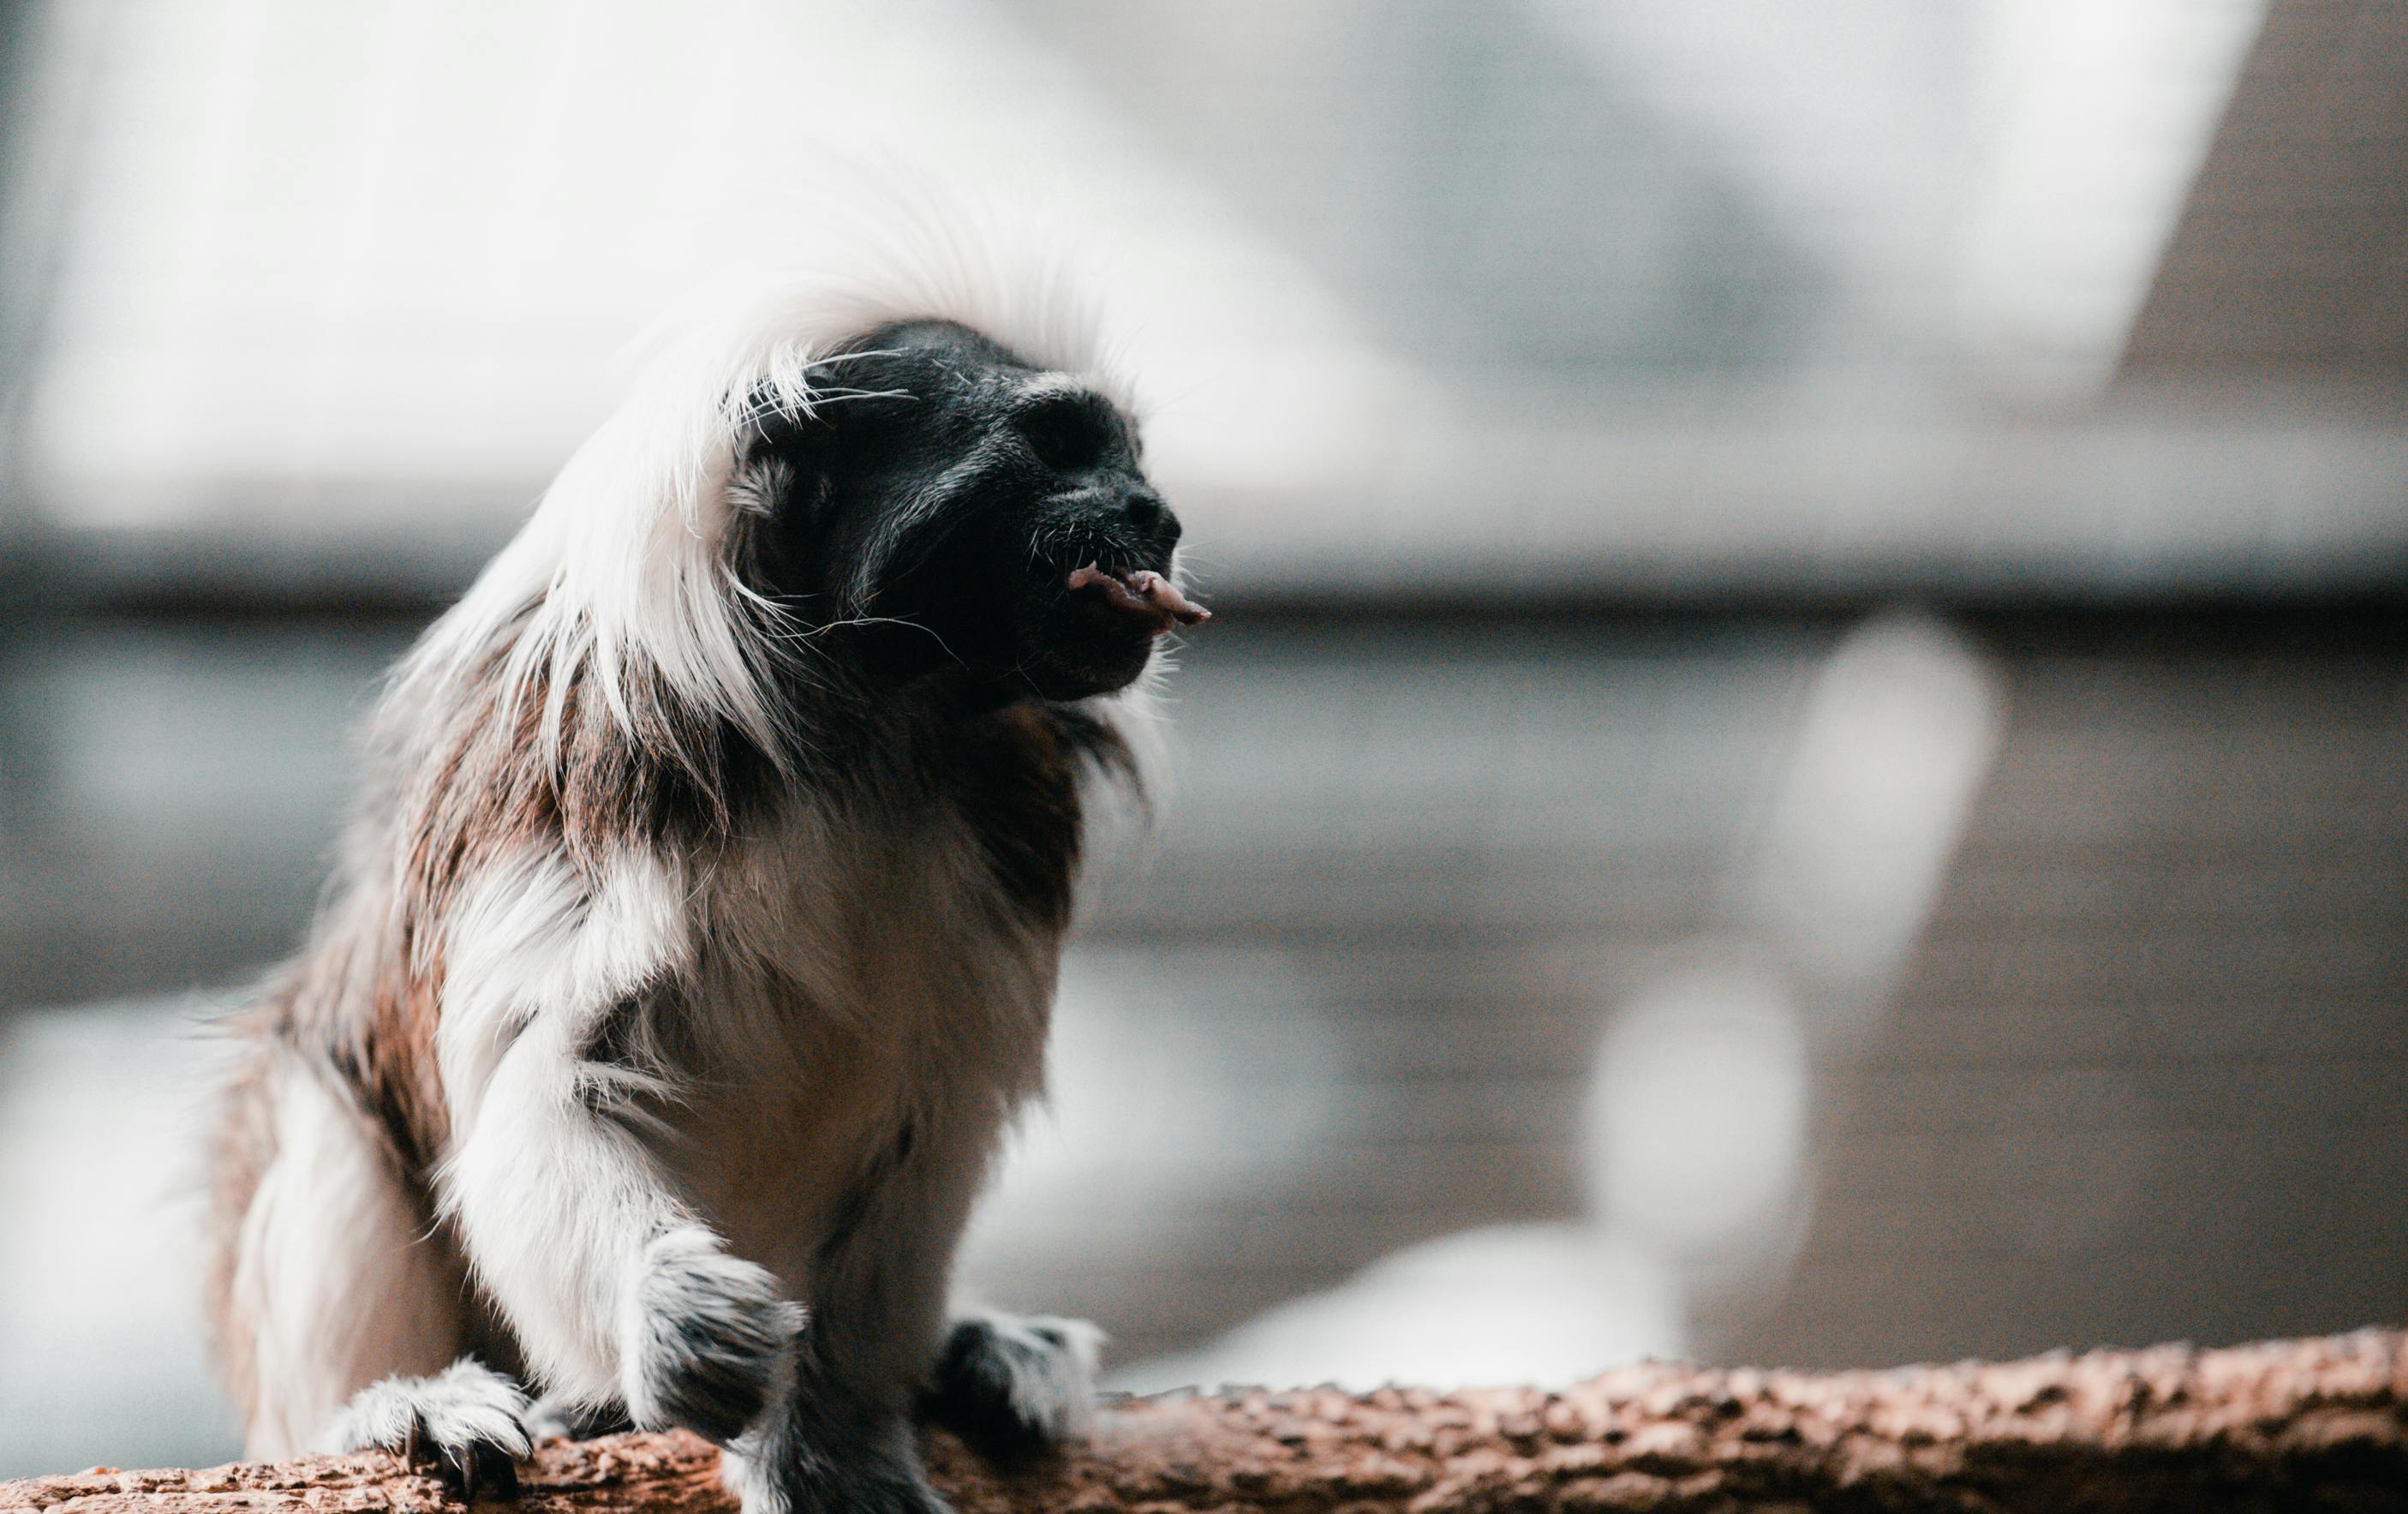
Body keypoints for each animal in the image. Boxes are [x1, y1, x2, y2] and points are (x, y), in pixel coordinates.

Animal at [212, 251, 1204, 1511]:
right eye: (1058, 443)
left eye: (1131, 460)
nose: (1155, 516)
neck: (879, 716)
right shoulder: (602, 763)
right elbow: (551, 1086)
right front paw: (667, 1314)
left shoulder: (1014, 820)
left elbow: (927, 1131)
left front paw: (833, 1436)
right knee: (319, 1093)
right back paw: (398, 1408)